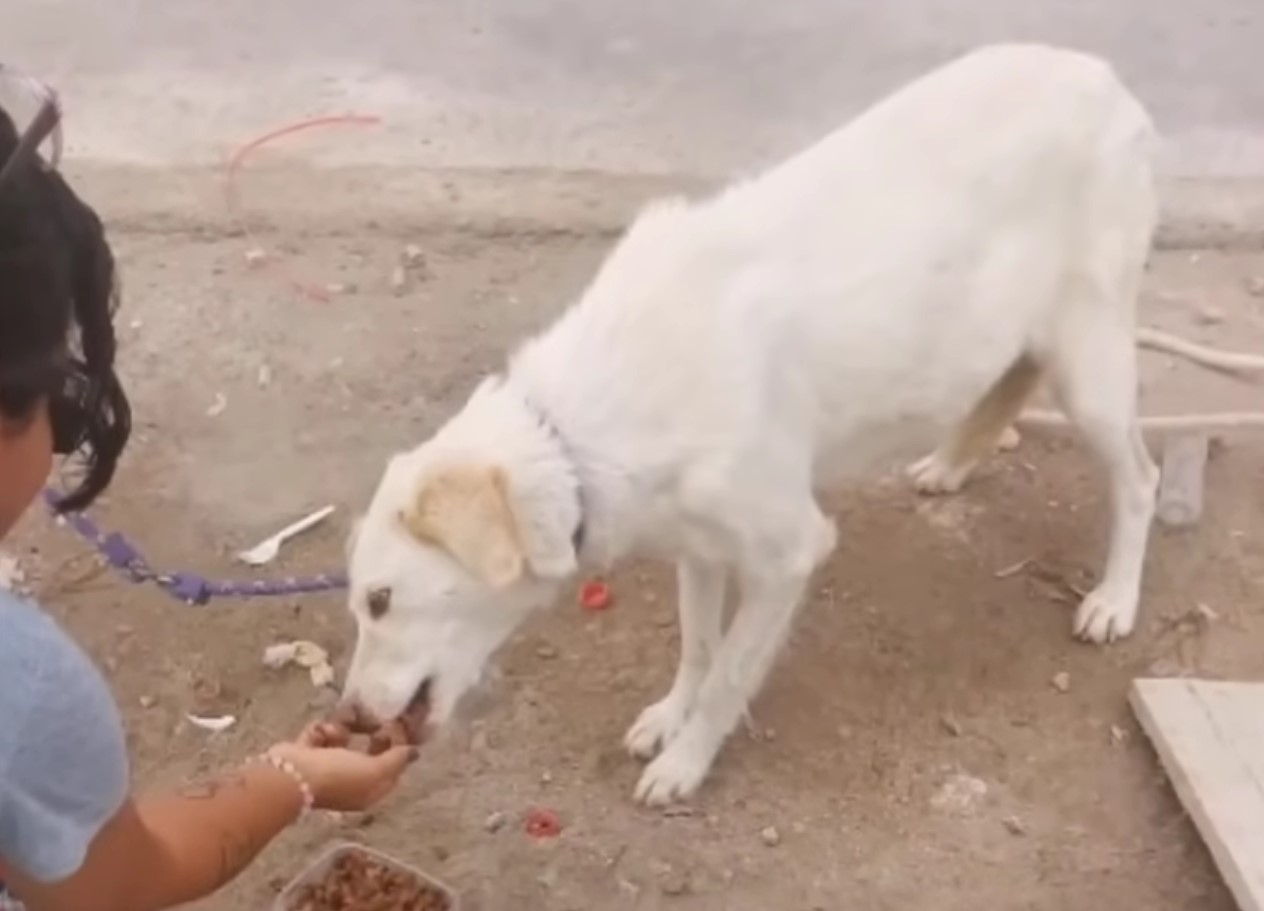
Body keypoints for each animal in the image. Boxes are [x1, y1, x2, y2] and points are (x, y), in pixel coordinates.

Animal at [338, 44, 1162, 803]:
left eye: (379, 600)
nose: (350, 719)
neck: (582, 432)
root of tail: (1106, 75)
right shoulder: (696, 546)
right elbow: (698, 649)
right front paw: (671, 716)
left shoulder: (789, 552)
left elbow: (731, 671)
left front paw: (687, 761)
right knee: (1011, 378)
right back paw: (951, 462)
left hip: (1091, 367)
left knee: (1140, 480)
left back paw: (1115, 600)